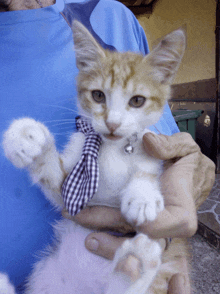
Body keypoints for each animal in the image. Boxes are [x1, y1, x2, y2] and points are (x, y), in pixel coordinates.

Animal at [1, 21, 187, 294]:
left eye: (137, 100)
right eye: (98, 95)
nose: (112, 123)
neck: (112, 149)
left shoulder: (150, 146)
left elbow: (147, 170)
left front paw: (142, 195)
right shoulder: (70, 192)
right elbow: (53, 178)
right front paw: (27, 136)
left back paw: (136, 263)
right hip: (46, 275)